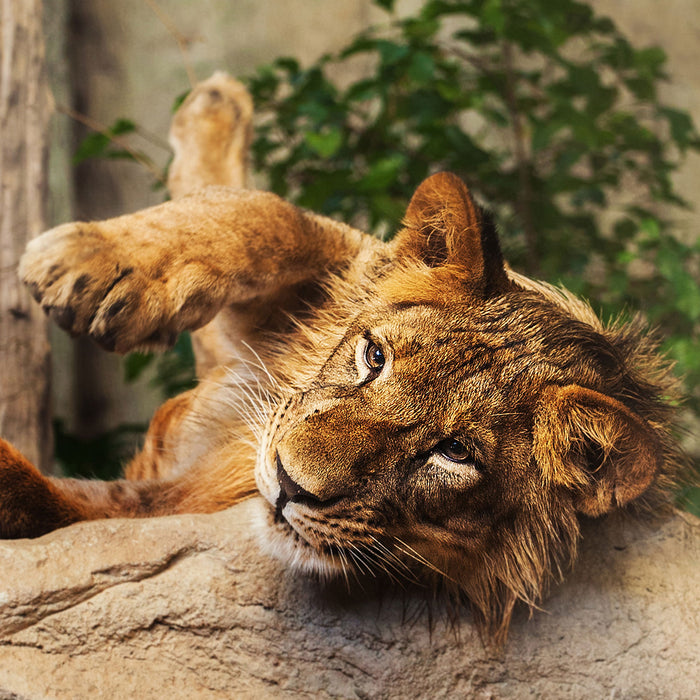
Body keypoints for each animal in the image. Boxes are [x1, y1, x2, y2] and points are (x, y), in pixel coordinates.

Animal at [0, 74, 680, 644]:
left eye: (456, 454)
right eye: (373, 356)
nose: (288, 484)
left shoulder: (157, 507)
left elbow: (50, 503)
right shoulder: (337, 266)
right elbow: (267, 215)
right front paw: (84, 264)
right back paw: (216, 104)